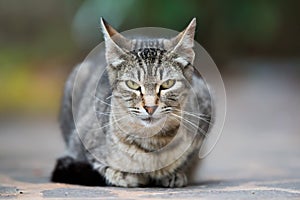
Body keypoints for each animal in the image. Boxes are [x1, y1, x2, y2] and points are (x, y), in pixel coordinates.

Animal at [51, 17, 211, 188]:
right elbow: (96, 162)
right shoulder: (81, 139)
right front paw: (120, 174)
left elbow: (187, 158)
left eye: (168, 84)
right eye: (132, 84)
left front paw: (172, 173)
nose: (150, 107)